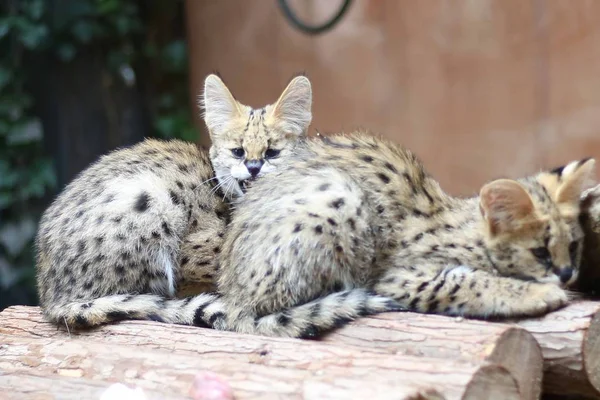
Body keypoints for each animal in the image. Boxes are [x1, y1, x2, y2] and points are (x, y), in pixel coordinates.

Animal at [35, 72, 312, 328]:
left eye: (272, 152)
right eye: (238, 152)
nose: (253, 167)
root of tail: (50, 299)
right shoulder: (193, 257)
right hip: (150, 199)